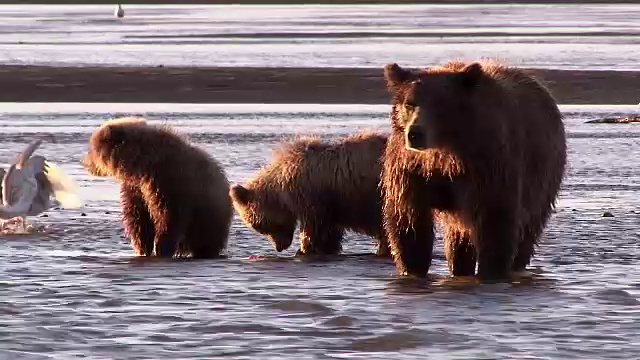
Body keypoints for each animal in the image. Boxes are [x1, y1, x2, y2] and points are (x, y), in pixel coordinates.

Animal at [81, 116, 232, 258]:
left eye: (91, 149)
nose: (84, 162)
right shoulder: (137, 187)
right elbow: (138, 218)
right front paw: (142, 249)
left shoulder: (169, 181)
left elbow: (169, 217)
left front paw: (161, 248)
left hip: (210, 214)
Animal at [380, 60, 564, 280]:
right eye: (409, 103)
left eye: (440, 104)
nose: (415, 133)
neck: (444, 155)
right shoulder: (411, 171)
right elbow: (409, 223)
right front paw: (412, 271)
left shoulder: (488, 167)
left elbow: (495, 221)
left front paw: (491, 273)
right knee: (458, 240)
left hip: (542, 179)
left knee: (527, 232)